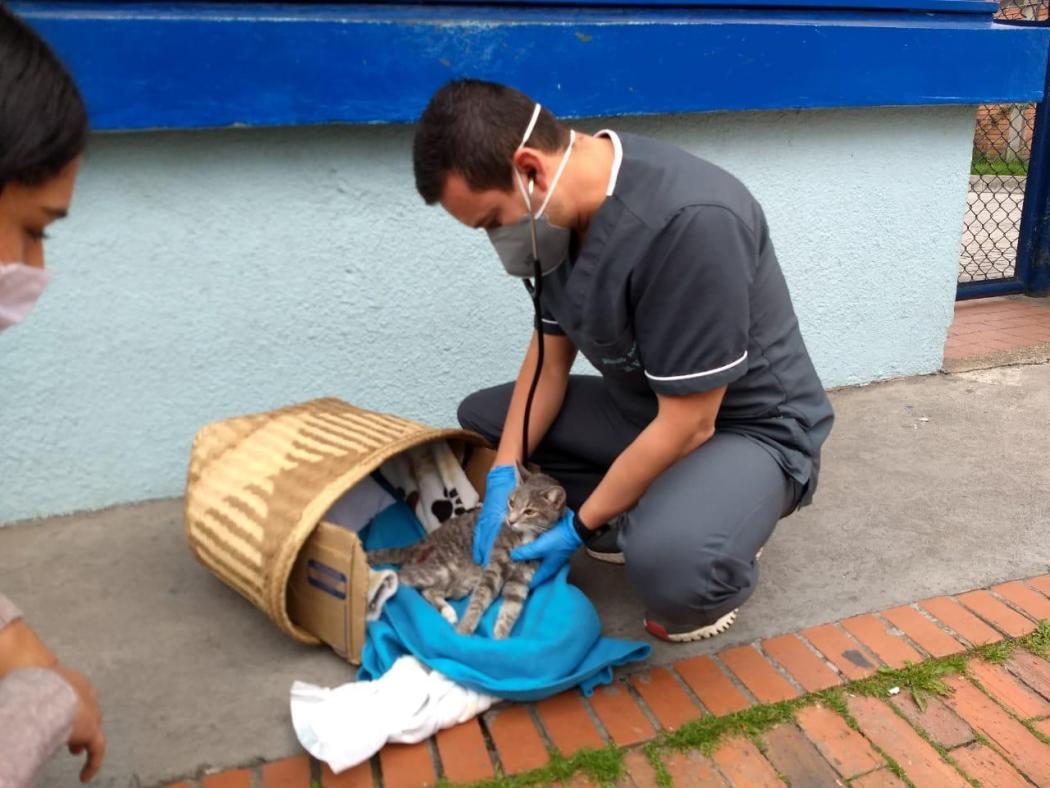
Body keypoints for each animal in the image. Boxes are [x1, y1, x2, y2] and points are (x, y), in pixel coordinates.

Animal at [367, 468, 567, 643]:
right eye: (511, 502)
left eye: (529, 511)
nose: (511, 521)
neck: (524, 538)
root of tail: (420, 543)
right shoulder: (494, 566)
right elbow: (480, 598)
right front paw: (465, 629)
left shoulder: (522, 578)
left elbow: (512, 607)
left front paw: (500, 638)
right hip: (441, 569)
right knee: (401, 577)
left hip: (458, 584)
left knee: (428, 591)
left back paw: (447, 611)